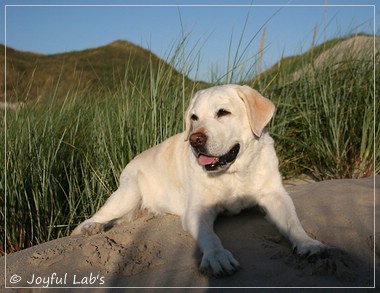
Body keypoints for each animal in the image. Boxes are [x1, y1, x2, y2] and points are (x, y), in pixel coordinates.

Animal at [72, 83, 326, 274]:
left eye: (223, 112)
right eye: (193, 117)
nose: (195, 139)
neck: (233, 172)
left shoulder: (274, 195)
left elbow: (292, 222)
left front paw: (307, 243)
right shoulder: (197, 210)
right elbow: (210, 236)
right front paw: (217, 257)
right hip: (129, 193)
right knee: (95, 217)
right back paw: (90, 228)